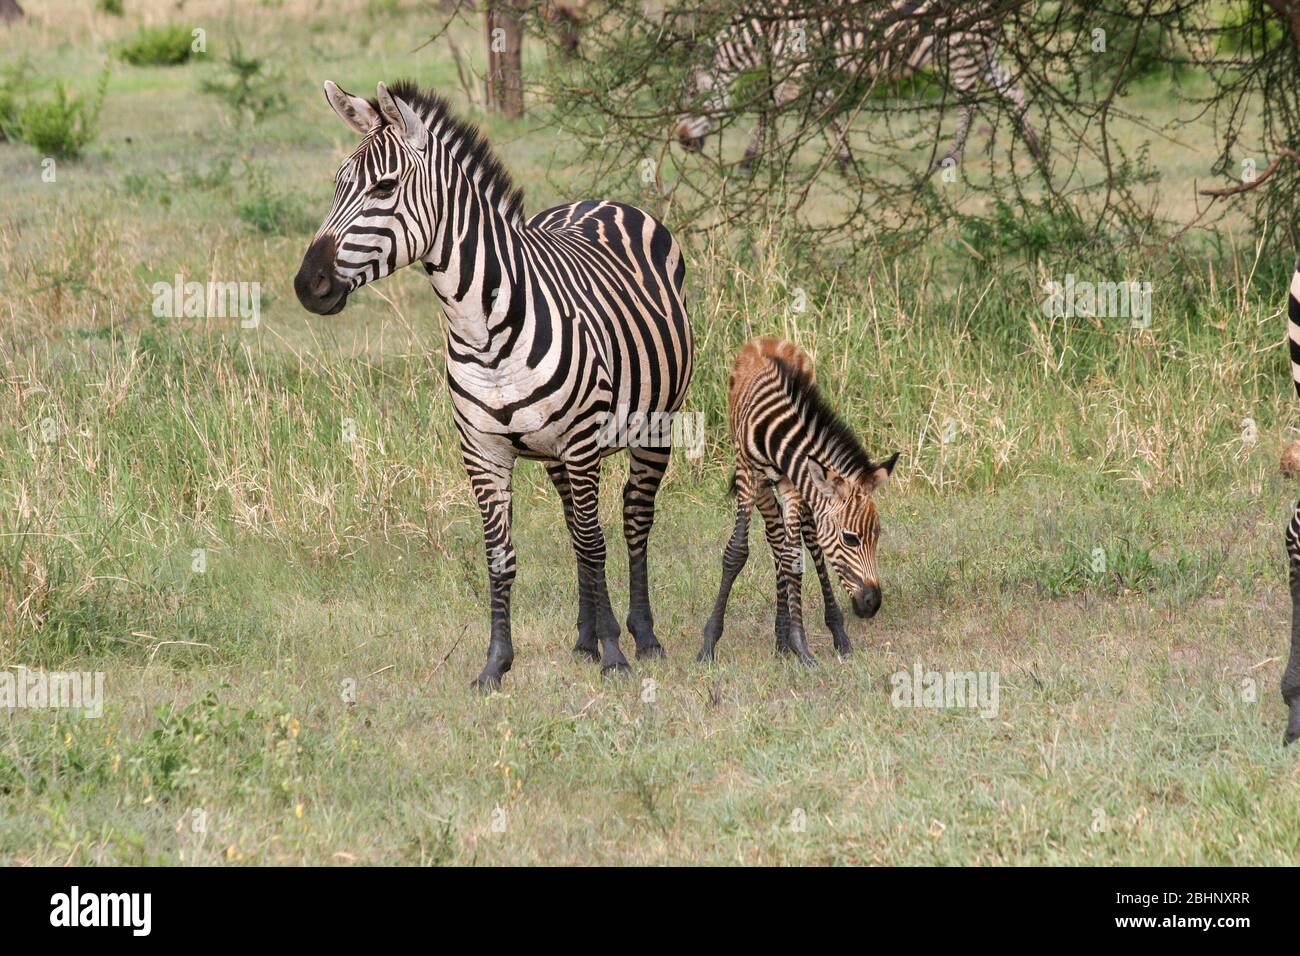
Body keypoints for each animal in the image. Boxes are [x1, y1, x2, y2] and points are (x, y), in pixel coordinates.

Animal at [297, 76, 696, 686]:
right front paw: (497, 663)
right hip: (554, 453)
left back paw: (642, 636)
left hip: (654, 426)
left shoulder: (581, 441)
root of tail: (602, 201)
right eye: (339, 185)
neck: (482, 329)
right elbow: (501, 556)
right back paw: (584, 639)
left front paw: (615, 655)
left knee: (632, 519)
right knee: (576, 527)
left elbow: (595, 543)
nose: (306, 284)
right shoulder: (483, 450)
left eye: (385, 187)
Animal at [676, 0, 1040, 170]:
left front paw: (748, 161)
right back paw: (1036, 149)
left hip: (960, 45)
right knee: (1014, 91)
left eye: (691, 94)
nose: (682, 144)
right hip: (981, 47)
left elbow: (770, 109)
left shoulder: (798, 66)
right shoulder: (813, 69)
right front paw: (844, 159)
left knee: (971, 103)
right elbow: (826, 112)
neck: (770, 29)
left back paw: (951, 157)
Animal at [696, 338, 899, 665]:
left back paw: (812, 635)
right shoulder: (747, 472)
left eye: (877, 537)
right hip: (759, 483)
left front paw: (799, 645)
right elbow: (737, 552)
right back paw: (780, 638)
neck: (777, 433)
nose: (873, 603)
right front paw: (709, 643)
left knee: (805, 539)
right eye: (851, 539)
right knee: (775, 535)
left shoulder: (794, 484)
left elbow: (794, 558)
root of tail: (766, 339)